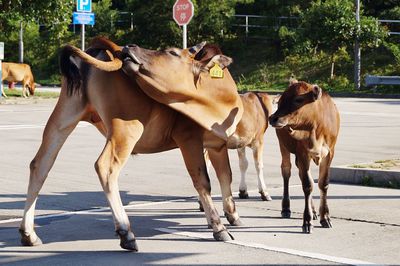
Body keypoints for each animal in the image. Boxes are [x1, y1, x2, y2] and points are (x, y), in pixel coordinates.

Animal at [19, 37, 244, 251]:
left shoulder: (216, 145)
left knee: (40, 164)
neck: (216, 98)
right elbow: (203, 181)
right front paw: (218, 227)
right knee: (106, 167)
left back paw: (29, 234)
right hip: (127, 127)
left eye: (172, 52)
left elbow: (226, 175)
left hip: (64, 117)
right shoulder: (188, 137)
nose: (129, 46)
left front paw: (232, 215)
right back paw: (125, 232)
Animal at [268, 80, 340, 233]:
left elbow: (323, 183)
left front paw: (325, 217)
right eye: (280, 101)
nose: (272, 118)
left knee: (303, 175)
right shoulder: (302, 152)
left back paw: (314, 212)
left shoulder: (330, 153)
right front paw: (307, 221)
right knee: (286, 171)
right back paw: (286, 208)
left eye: (298, 100)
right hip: (283, 146)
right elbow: (307, 185)